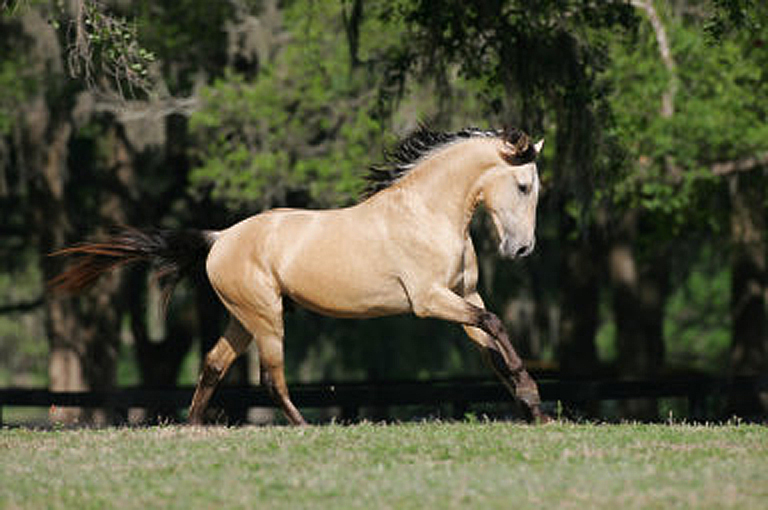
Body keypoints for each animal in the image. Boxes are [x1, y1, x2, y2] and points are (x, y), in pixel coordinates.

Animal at [51, 125, 548, 424]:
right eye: (524, 186)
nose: (522, 249)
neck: (426, 212)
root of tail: (220, 238)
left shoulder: (466, 295)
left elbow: (491, 345)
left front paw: (533, 407)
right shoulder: (429, 301)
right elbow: (495, 326)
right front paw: (530, 396)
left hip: (243, 320)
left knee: (213, 364)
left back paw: (191, 427)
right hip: (266, 318)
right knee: (271, 379)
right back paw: (304, 425)